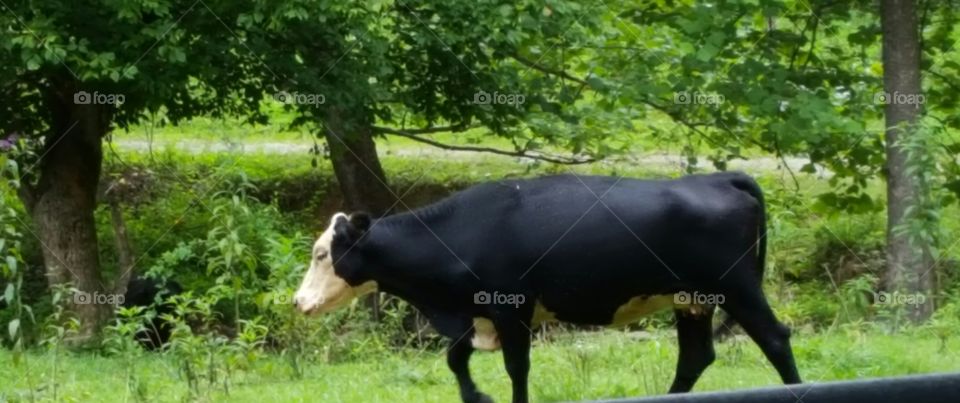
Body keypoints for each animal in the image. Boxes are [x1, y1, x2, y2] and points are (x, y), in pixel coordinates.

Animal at [293, 172, 801, 403]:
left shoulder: (511, 309)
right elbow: (456, 359)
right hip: (692, 300)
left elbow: (517, 369)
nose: (299, 302)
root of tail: (716, 177)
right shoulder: (476, 314)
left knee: (775, 339)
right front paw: (476, 396)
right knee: (695, 356)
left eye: (321, 254)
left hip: (737, 288)